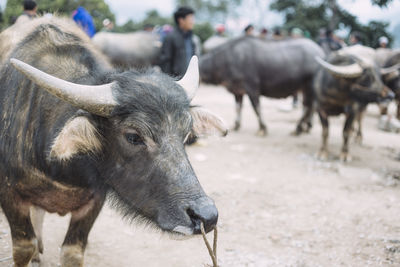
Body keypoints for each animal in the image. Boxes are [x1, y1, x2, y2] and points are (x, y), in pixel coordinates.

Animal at [0, 17, 227, 266]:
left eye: (186, 134)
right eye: (134, 137)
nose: (206, 216)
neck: (58, 165)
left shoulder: (95, 199)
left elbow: (72, 252)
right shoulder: (8, 194)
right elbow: (24, 247)